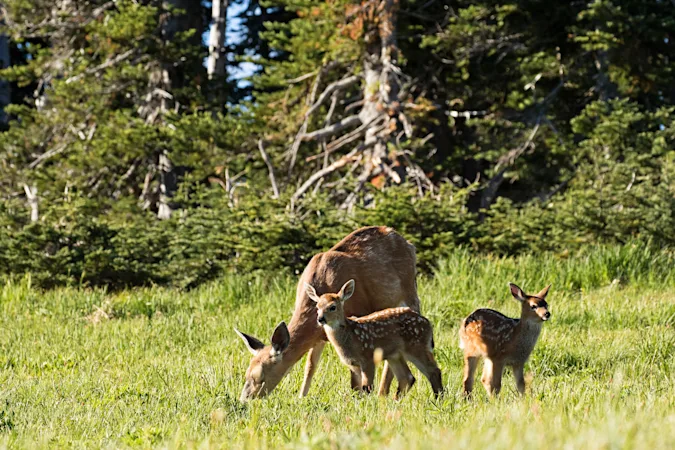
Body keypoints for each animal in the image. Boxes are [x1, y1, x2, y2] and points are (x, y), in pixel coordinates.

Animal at [234, 226, 421, 402]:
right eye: (246, 374)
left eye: (260, 376)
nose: (244, 400)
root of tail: (409, 243)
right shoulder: (320, 333)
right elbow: (310, 365)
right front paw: (302, 397)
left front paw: (358, 397)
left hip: (410, 296)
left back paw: (384, 393)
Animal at [305, 279, 443, 398]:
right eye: (317, 307)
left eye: (332, 307)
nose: (320, 319)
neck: (351, 336)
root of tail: (428, 323)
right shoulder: (353, 365)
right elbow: (356, 389)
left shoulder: (368, 358)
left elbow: (367, 388)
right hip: (395, 355)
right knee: (407, 378)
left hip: (417, 346)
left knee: (434, 371)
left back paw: (438, 400)